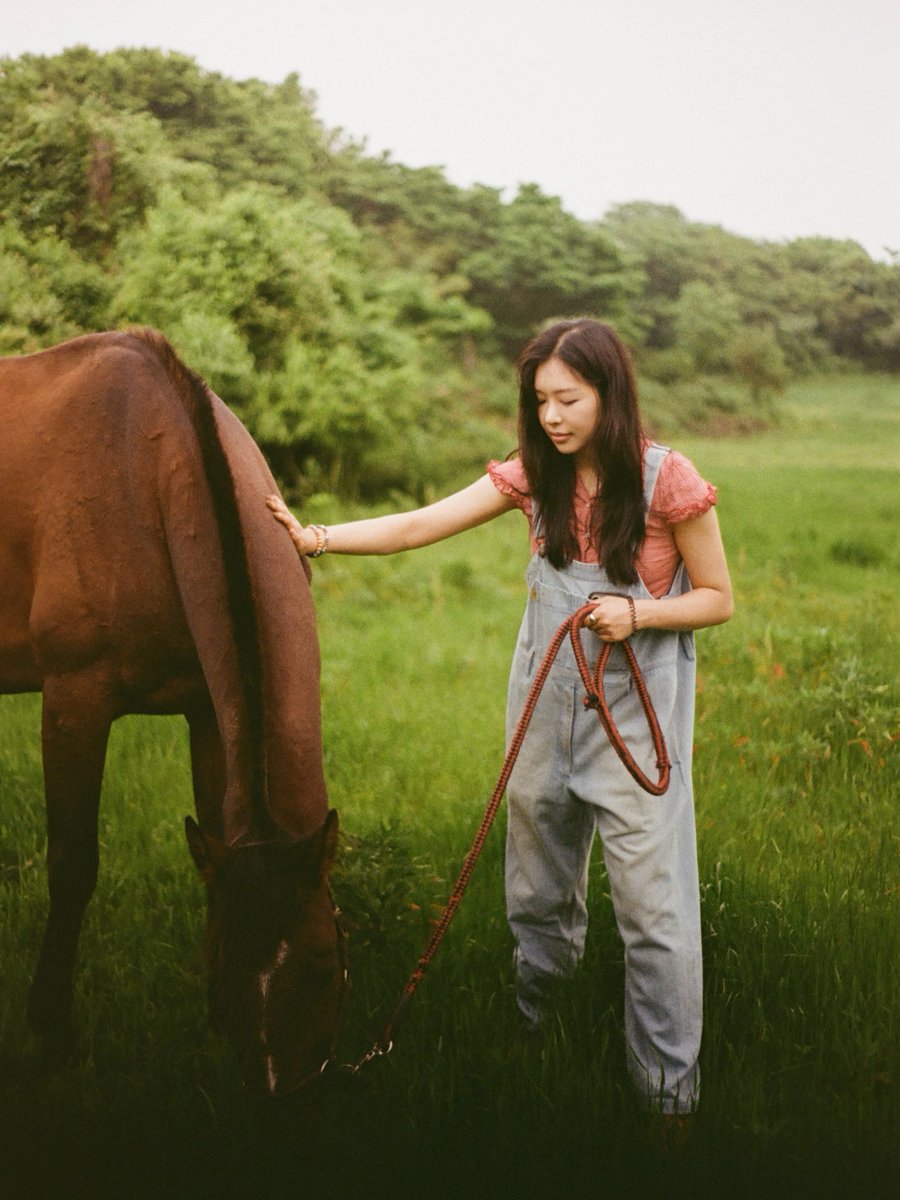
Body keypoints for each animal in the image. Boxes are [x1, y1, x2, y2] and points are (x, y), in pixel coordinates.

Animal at [0, 328, 346, 1096]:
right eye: (224, 965)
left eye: (322, 962)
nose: (279, 1096)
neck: (146, 473)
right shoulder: (73, 701)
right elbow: (72, 866)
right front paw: (52, 1033)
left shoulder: (210, 715)